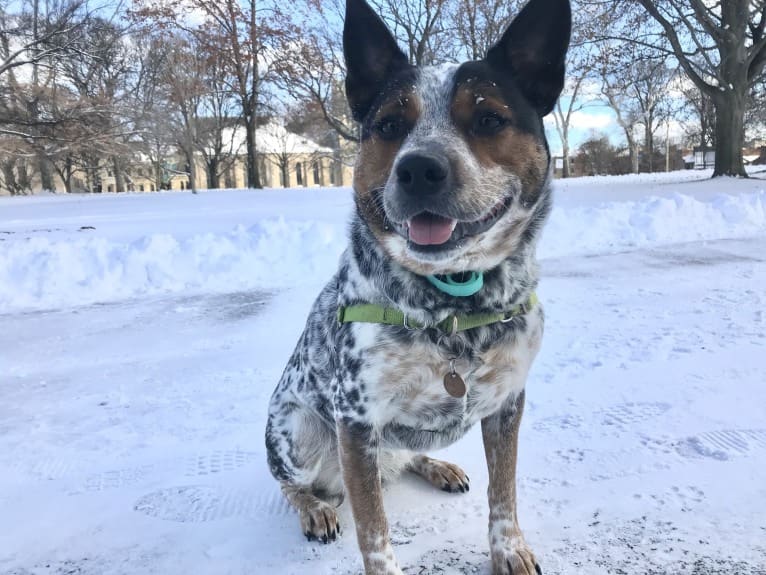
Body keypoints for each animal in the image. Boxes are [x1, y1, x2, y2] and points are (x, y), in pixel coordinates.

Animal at [264, 0, 568, 572]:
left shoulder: (508, 401)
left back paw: (437, 466)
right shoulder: (356, 420)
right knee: (291, 482)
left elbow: (503, 492)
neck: (455, 303)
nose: (419, 168)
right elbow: (374, 532)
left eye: (489, 119)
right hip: (299, 430)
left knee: (404, 456)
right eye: (388, 125)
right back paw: (315, 508)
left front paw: (509, 549)